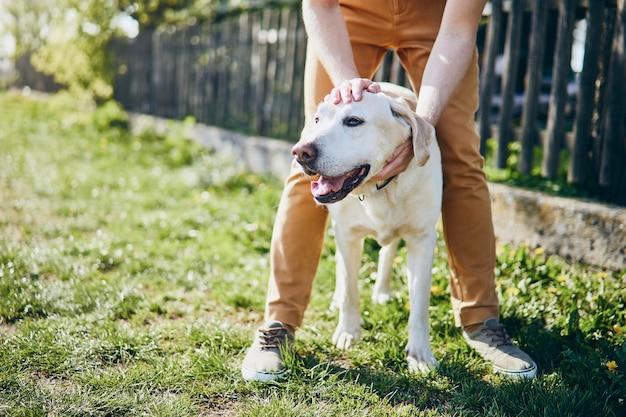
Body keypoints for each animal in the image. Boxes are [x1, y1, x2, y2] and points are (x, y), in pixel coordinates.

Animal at [290, 81, 442, 370]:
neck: (378, 189)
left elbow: (420, 303)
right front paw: (347, 331)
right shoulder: (348, 235)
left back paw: (382, 291)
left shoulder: (422, 240)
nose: (301, 152)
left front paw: (420, 354)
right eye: (317, 120)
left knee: (388, 250)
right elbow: (350, 289)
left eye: (353, 121)